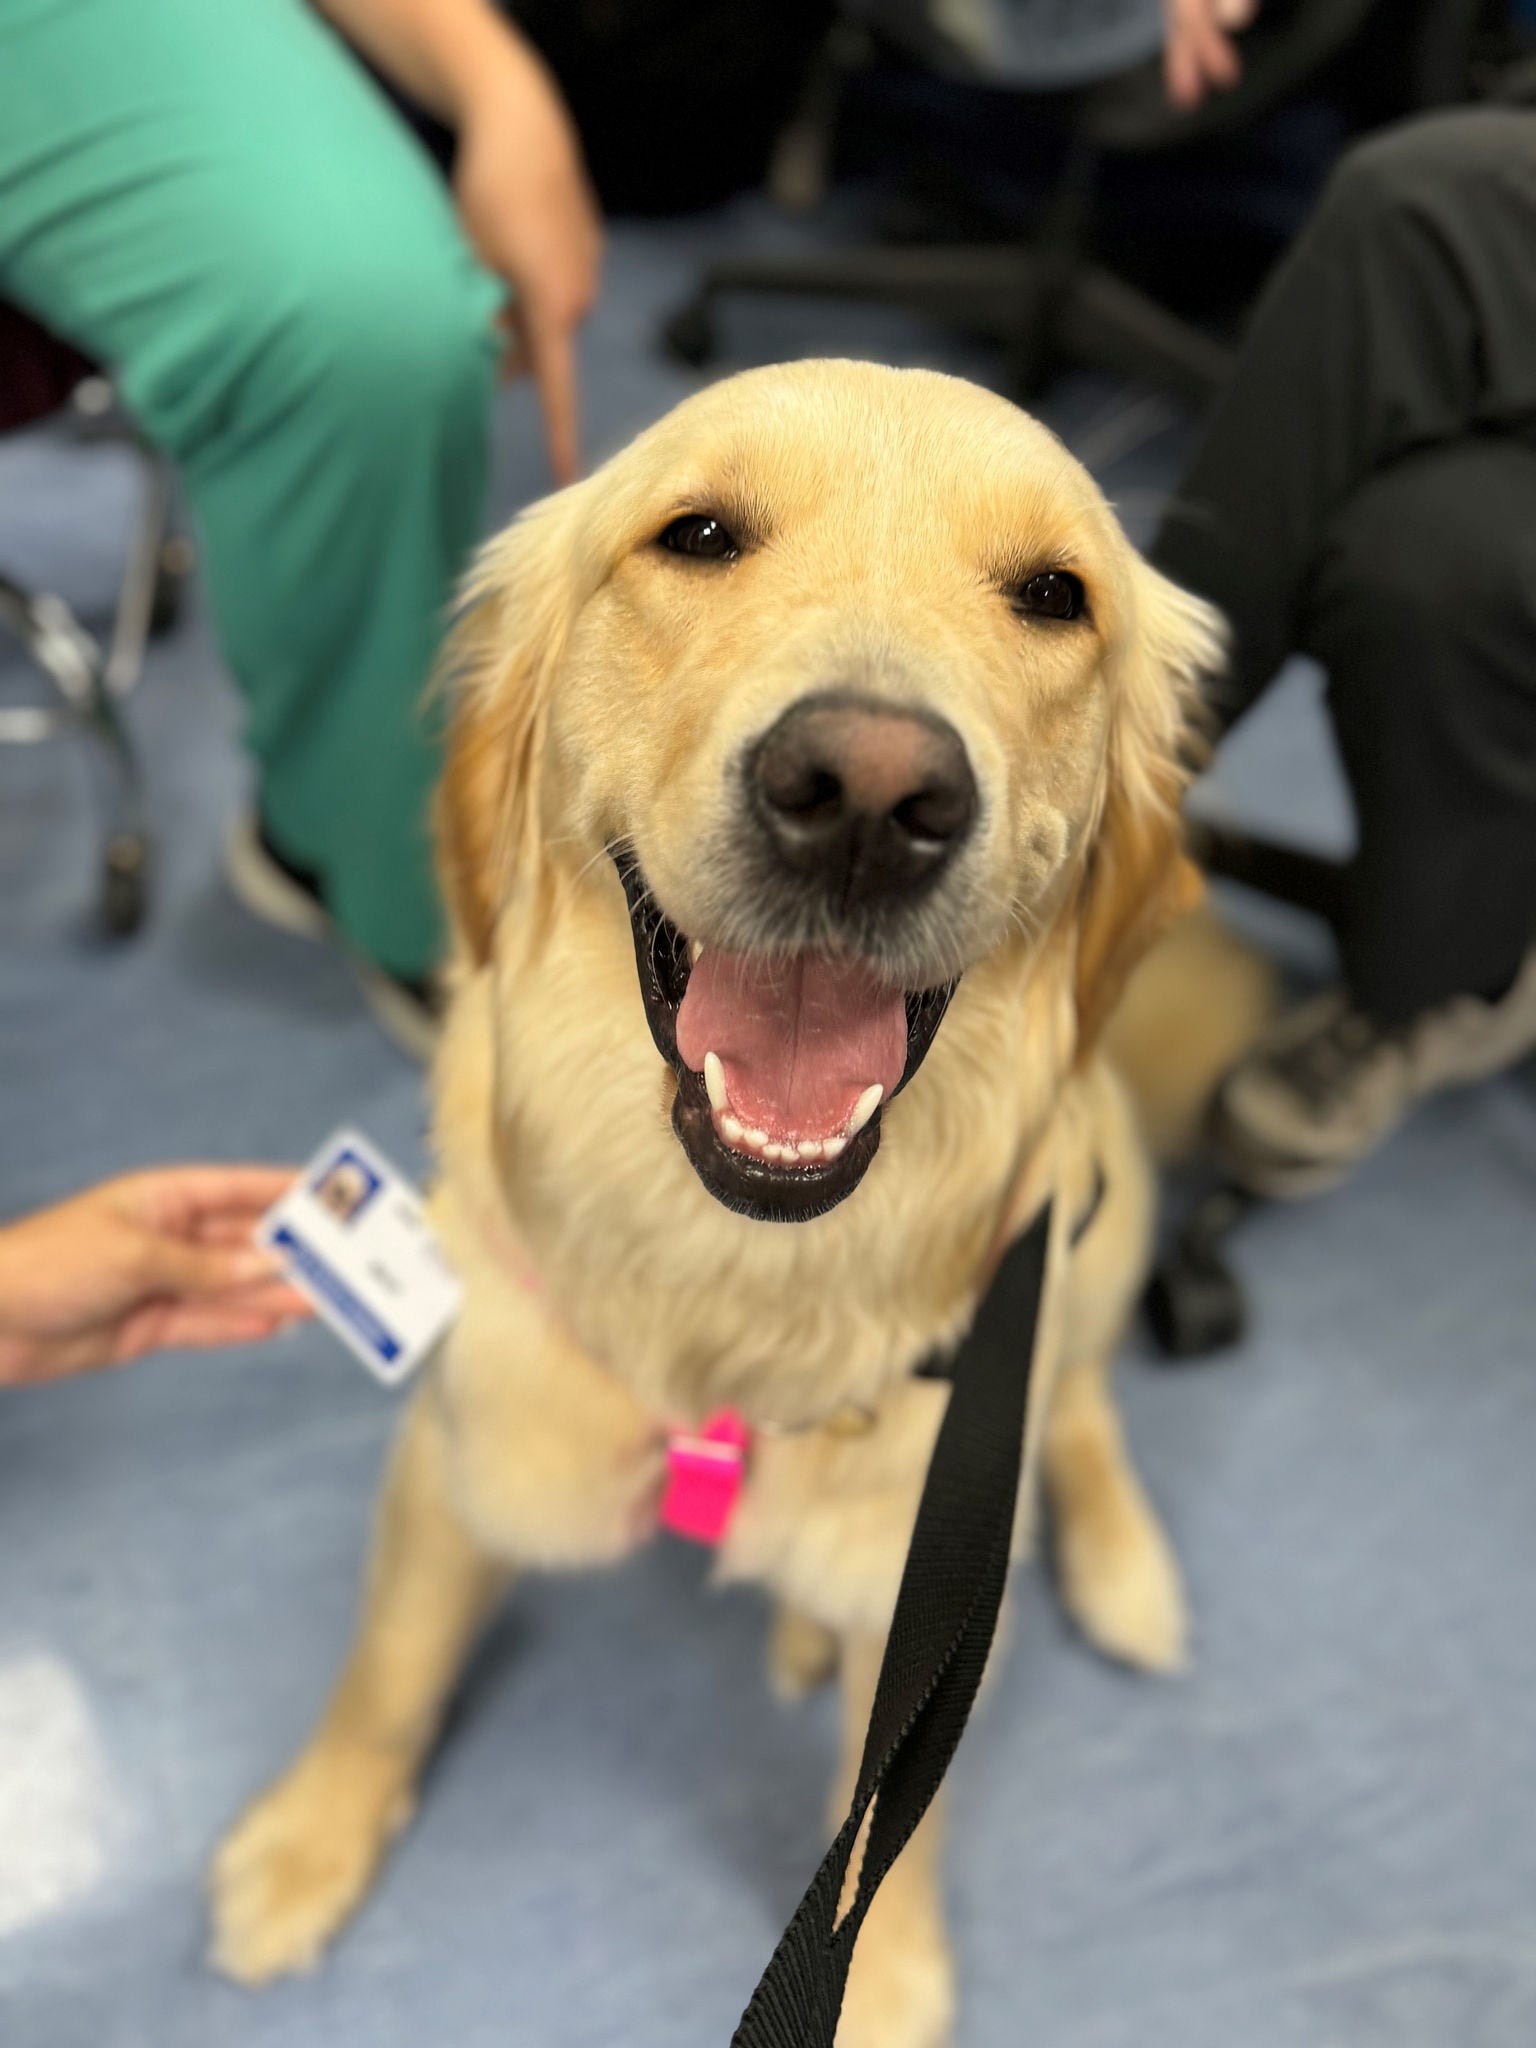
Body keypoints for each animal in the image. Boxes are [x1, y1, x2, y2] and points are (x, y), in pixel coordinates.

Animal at [207, 360, 1228, 2039]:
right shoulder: (466, 1444)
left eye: (1053, 594)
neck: (735, 1278)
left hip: (1099, 1219)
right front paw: (308, 1840)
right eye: (696, 535)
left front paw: (882, 1978)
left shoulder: (931, 1565)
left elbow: (898, 1811)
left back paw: (1119, 1568)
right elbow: (390, 1667)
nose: (868, 793)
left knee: (1076, 1401)